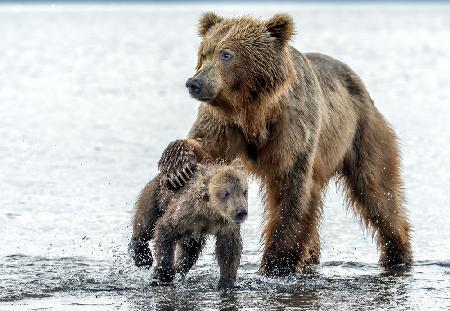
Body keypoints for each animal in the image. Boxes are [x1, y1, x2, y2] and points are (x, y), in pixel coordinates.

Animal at [155, 12, 412, 276]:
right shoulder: (223, 125)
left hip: (362, 132)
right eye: (204, 53)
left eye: (226, 54)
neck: (253, 112)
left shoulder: (292, 129)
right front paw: (177, 167)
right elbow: (205, 147)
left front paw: (276, 264)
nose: (194, 83)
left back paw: (397, 253)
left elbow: (291, 192)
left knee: (377, 190)